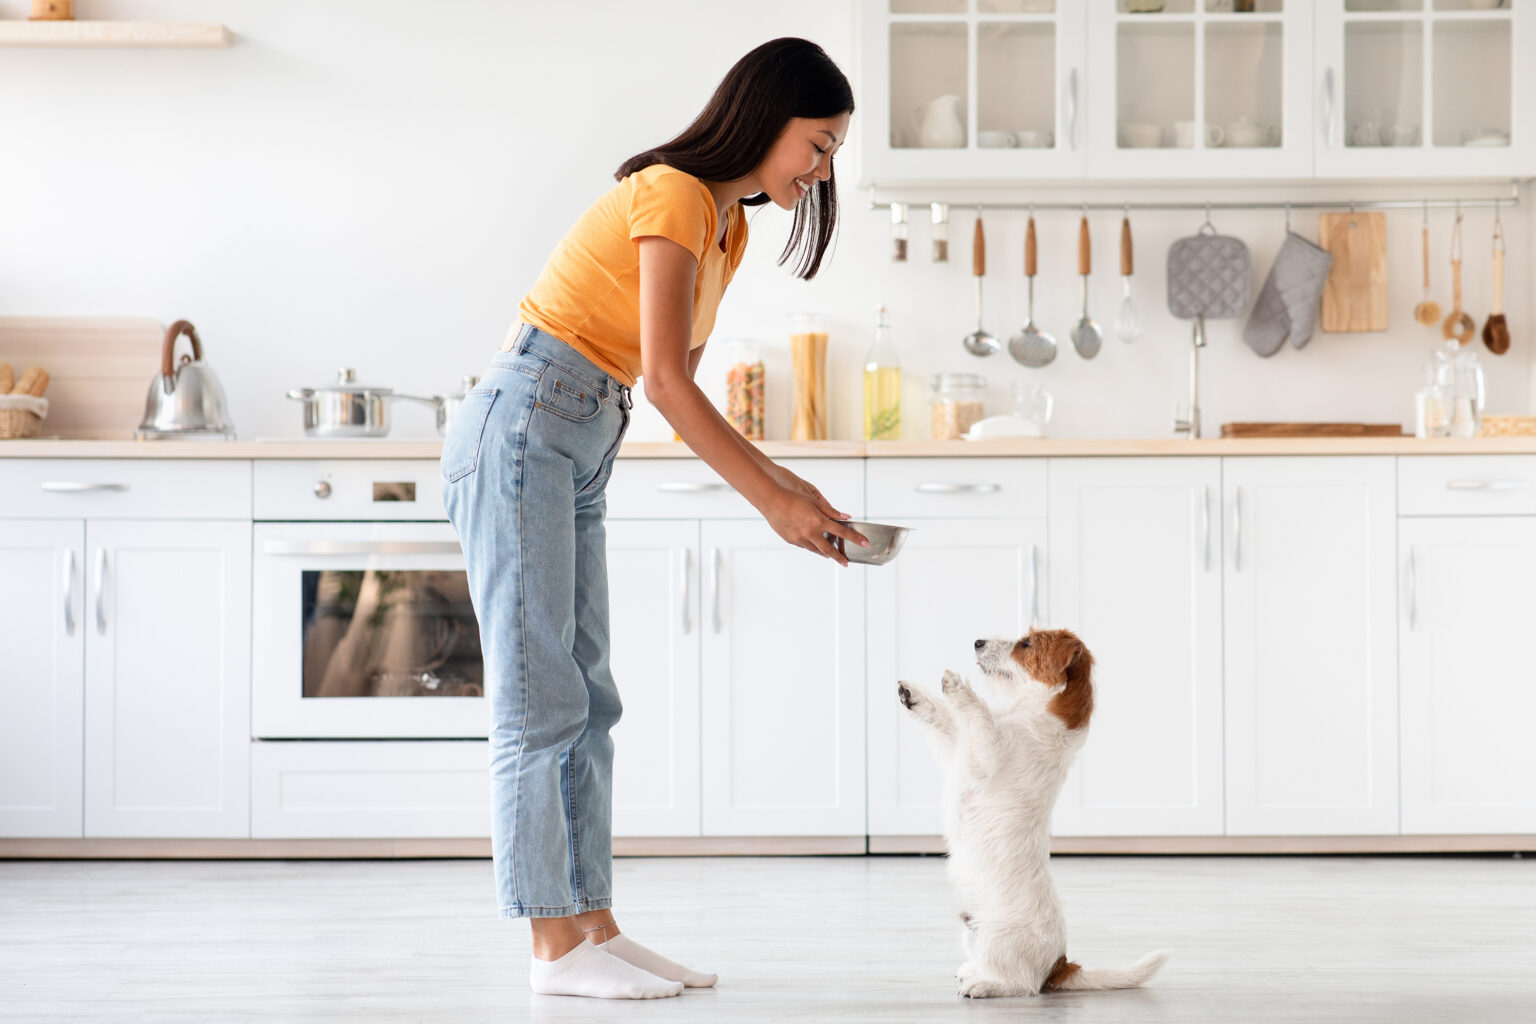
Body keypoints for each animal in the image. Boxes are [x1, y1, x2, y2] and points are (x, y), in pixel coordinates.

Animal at [897, 629, 1167, 994]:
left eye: (1026, 644)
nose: (977, 642)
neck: (1031, 711)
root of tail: (1059, 965)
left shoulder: (988, 753)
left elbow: (979, 717)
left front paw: (958, 687)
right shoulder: (959, 751)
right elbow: (947, 722)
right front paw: (914, 695)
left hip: (997, 940)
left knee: (1024, 984)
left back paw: (983, 986)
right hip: (973, 932)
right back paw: (972, 971)